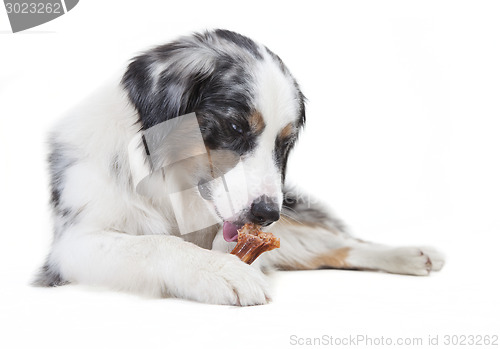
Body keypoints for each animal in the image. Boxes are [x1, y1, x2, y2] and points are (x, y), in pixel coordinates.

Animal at [33, 29, 444, 304]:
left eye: (285, 143)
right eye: (234, 127)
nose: (267, 215)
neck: (172, 186)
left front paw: (225, 259)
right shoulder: (72, 244)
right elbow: (155, 244)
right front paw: (221, 270)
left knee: (337, 242)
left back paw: (411, 253)